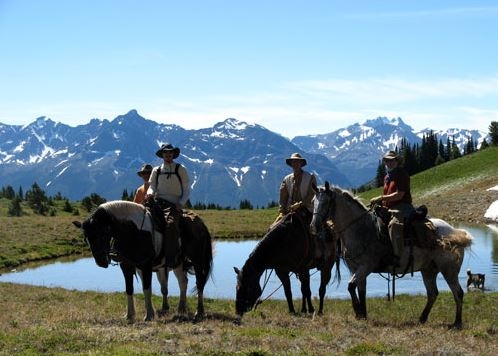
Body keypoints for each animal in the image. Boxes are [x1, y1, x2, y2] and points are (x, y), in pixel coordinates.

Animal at [73, 200, 213, 322]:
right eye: (86, 237)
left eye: (102, 233)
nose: (101, 262)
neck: (134, 231)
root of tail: (200, 224)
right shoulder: (127, 266)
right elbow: (129, 289)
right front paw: (129, 315)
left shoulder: (146, 265)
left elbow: (147, 289)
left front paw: (149, 315)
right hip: (178, 263)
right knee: (183, 282)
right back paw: (181, 309)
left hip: (197, 261)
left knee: (199, 283)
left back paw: (199, 312)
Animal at [312, 182, 474, 330]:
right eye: (313, 201)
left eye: (326, 202)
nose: (313, 226)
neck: (360, 229)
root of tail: (455, 231)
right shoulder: (355, 269)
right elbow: (360, 290)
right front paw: (363, 315)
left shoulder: (365, 267)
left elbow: (351, 286)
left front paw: (358, 312)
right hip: (429, 270)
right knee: (433, 293)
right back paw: (422, 319)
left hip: (449, 270)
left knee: (458, 293)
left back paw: (457, 323)